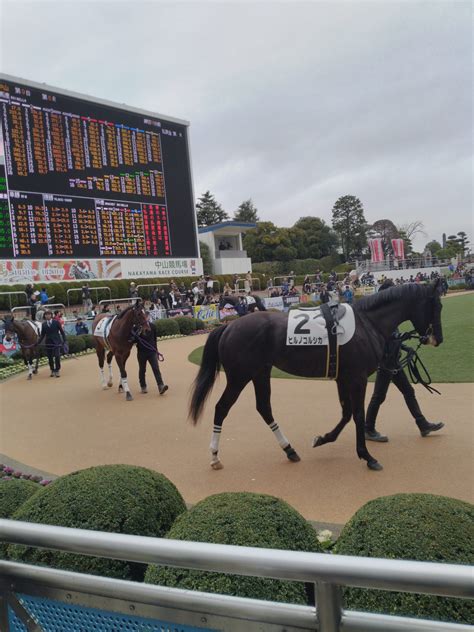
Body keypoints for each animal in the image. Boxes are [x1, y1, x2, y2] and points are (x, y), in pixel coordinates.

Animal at [190, 282, 444, 470]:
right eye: (437, 305)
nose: (437, 339)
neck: (367, 323)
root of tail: (228, 327)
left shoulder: (343, 377)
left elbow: (346, 413)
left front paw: (323, 438)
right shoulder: (357, 378)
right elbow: (358, 415)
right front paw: (367, 456)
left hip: (260, 372)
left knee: (264, 407)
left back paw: (289, 449)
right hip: (239, 376)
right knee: (222, 407)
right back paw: (215, 456)